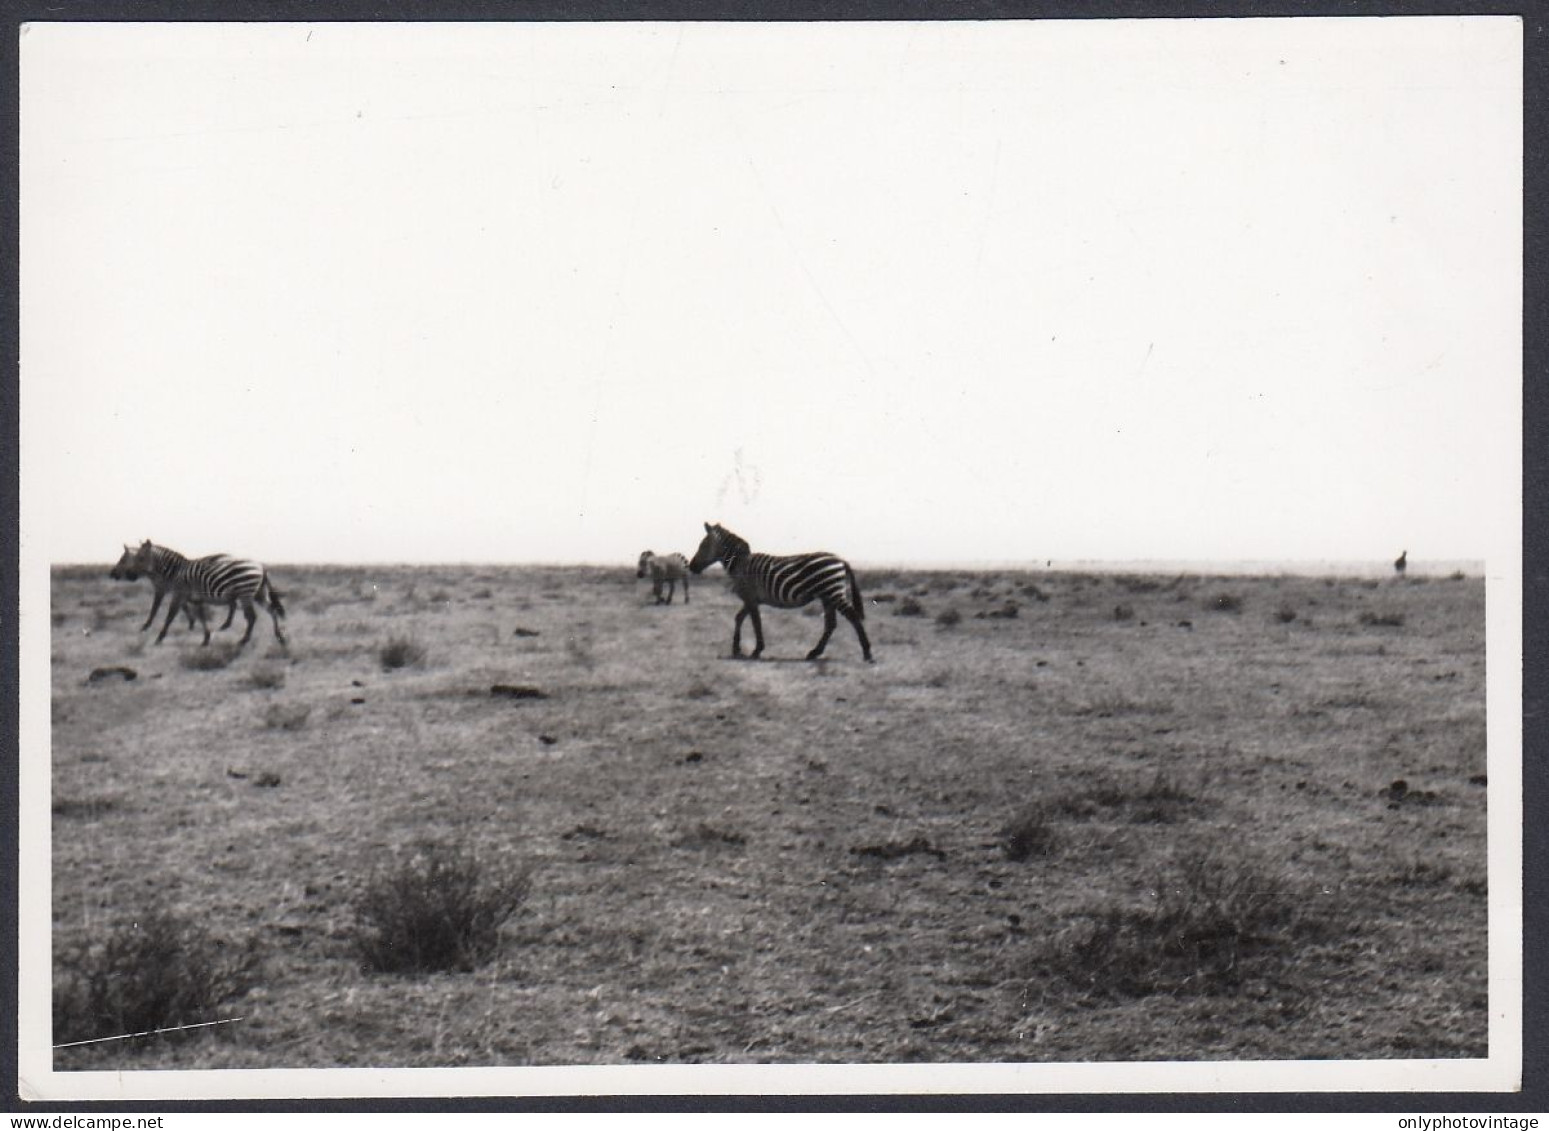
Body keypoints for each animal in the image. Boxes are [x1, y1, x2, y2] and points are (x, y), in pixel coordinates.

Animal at [113, 545, 289, 647]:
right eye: (134, 558)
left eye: (140, 558)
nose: (129, 575)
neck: (174, 572)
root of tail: (261, 566)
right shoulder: (194, 599)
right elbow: (201, 616)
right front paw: (205, 638)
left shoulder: (177, 594)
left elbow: (170, 615)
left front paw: (159, 637)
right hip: (259, 593)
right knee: (271, 611)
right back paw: (279, 637)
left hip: (245, 593)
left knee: (251, 616)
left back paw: (243, 640)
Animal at [690, 520, 873, 660]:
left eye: (703, 545)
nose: (691, 567)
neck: (740, 564)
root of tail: (841, 559)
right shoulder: (751, 599)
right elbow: (739, 618)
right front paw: (736, 649)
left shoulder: (750, 597)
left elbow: (756, 623)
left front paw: (757, 650)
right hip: (827, 595)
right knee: (831, 624)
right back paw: (814, 653)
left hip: (833, 592)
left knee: (852, 616)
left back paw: (867, 652)